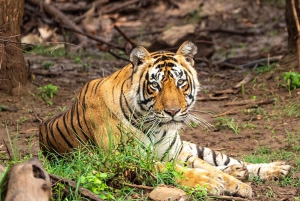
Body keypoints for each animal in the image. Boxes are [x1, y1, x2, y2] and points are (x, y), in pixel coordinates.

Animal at [39, 41, 290, 198]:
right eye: (155, 85)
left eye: (180, 82)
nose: (173, 111)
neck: (156, 127)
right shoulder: (126, 160)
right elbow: (181, 171)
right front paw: (209, 183)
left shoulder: (176, 153)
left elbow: (208, 167)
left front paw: (237, 184)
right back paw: (241, 171)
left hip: (193, 147)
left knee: (224, 160)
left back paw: (273, 168)